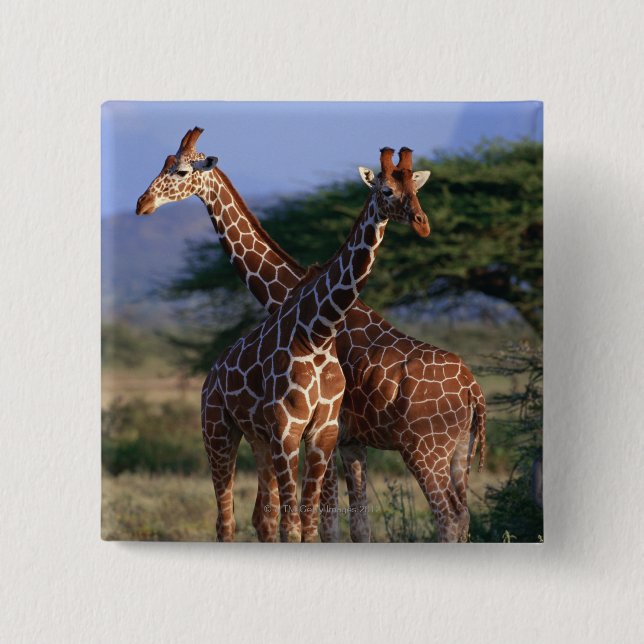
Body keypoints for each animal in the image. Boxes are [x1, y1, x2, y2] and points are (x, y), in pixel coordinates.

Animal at [136, 128, 486, 543]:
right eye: (165, 164)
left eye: (181, 170)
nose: (143, 203)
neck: (291, 293)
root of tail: (475, 392)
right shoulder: (346, 441)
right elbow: (352, 525)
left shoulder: (331, 434)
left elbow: (325, 523)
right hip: (458, 451)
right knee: (462, 516)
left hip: (425, 449)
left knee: (448, 518)